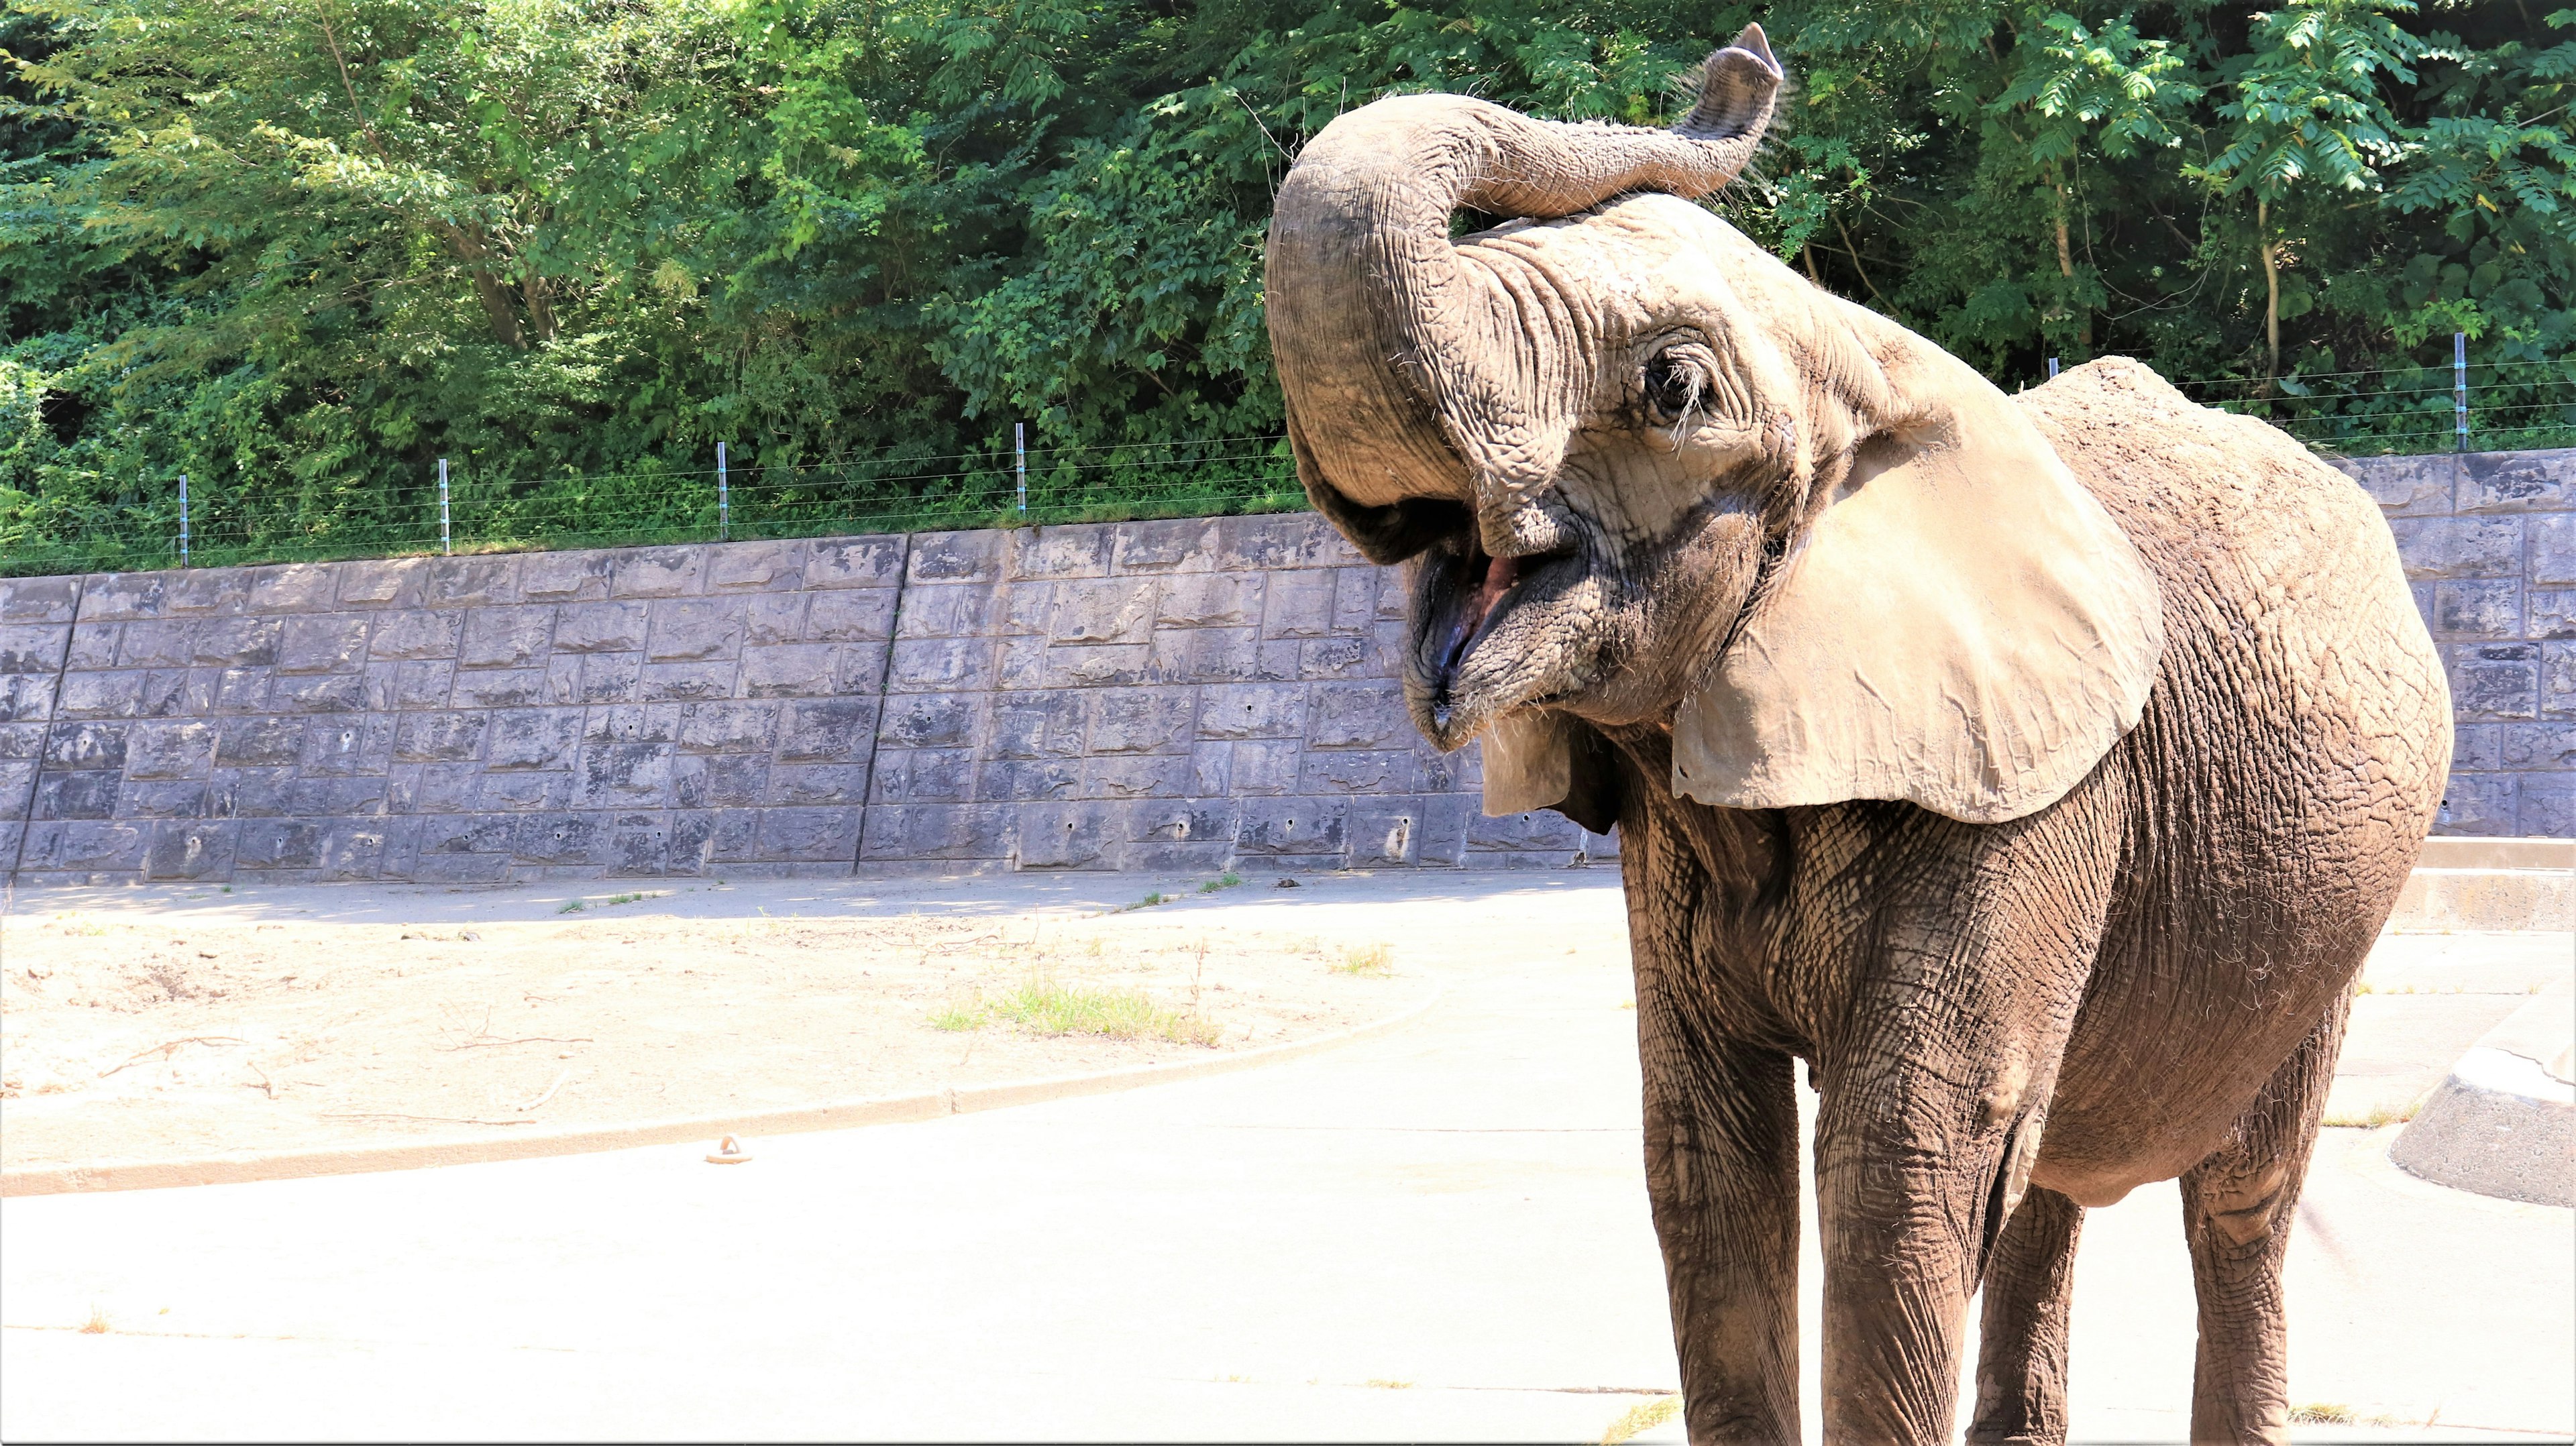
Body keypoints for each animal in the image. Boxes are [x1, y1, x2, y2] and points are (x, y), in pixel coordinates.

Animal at [1267, 25, 2452, 1443]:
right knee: (2047, 1185)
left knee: (2238, 1202)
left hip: (2337, 919)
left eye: (1672, 386)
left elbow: (1902, 1160)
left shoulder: (2039, 790)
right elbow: (1707, 1157)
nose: (1743, 64)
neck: (1855, 352)